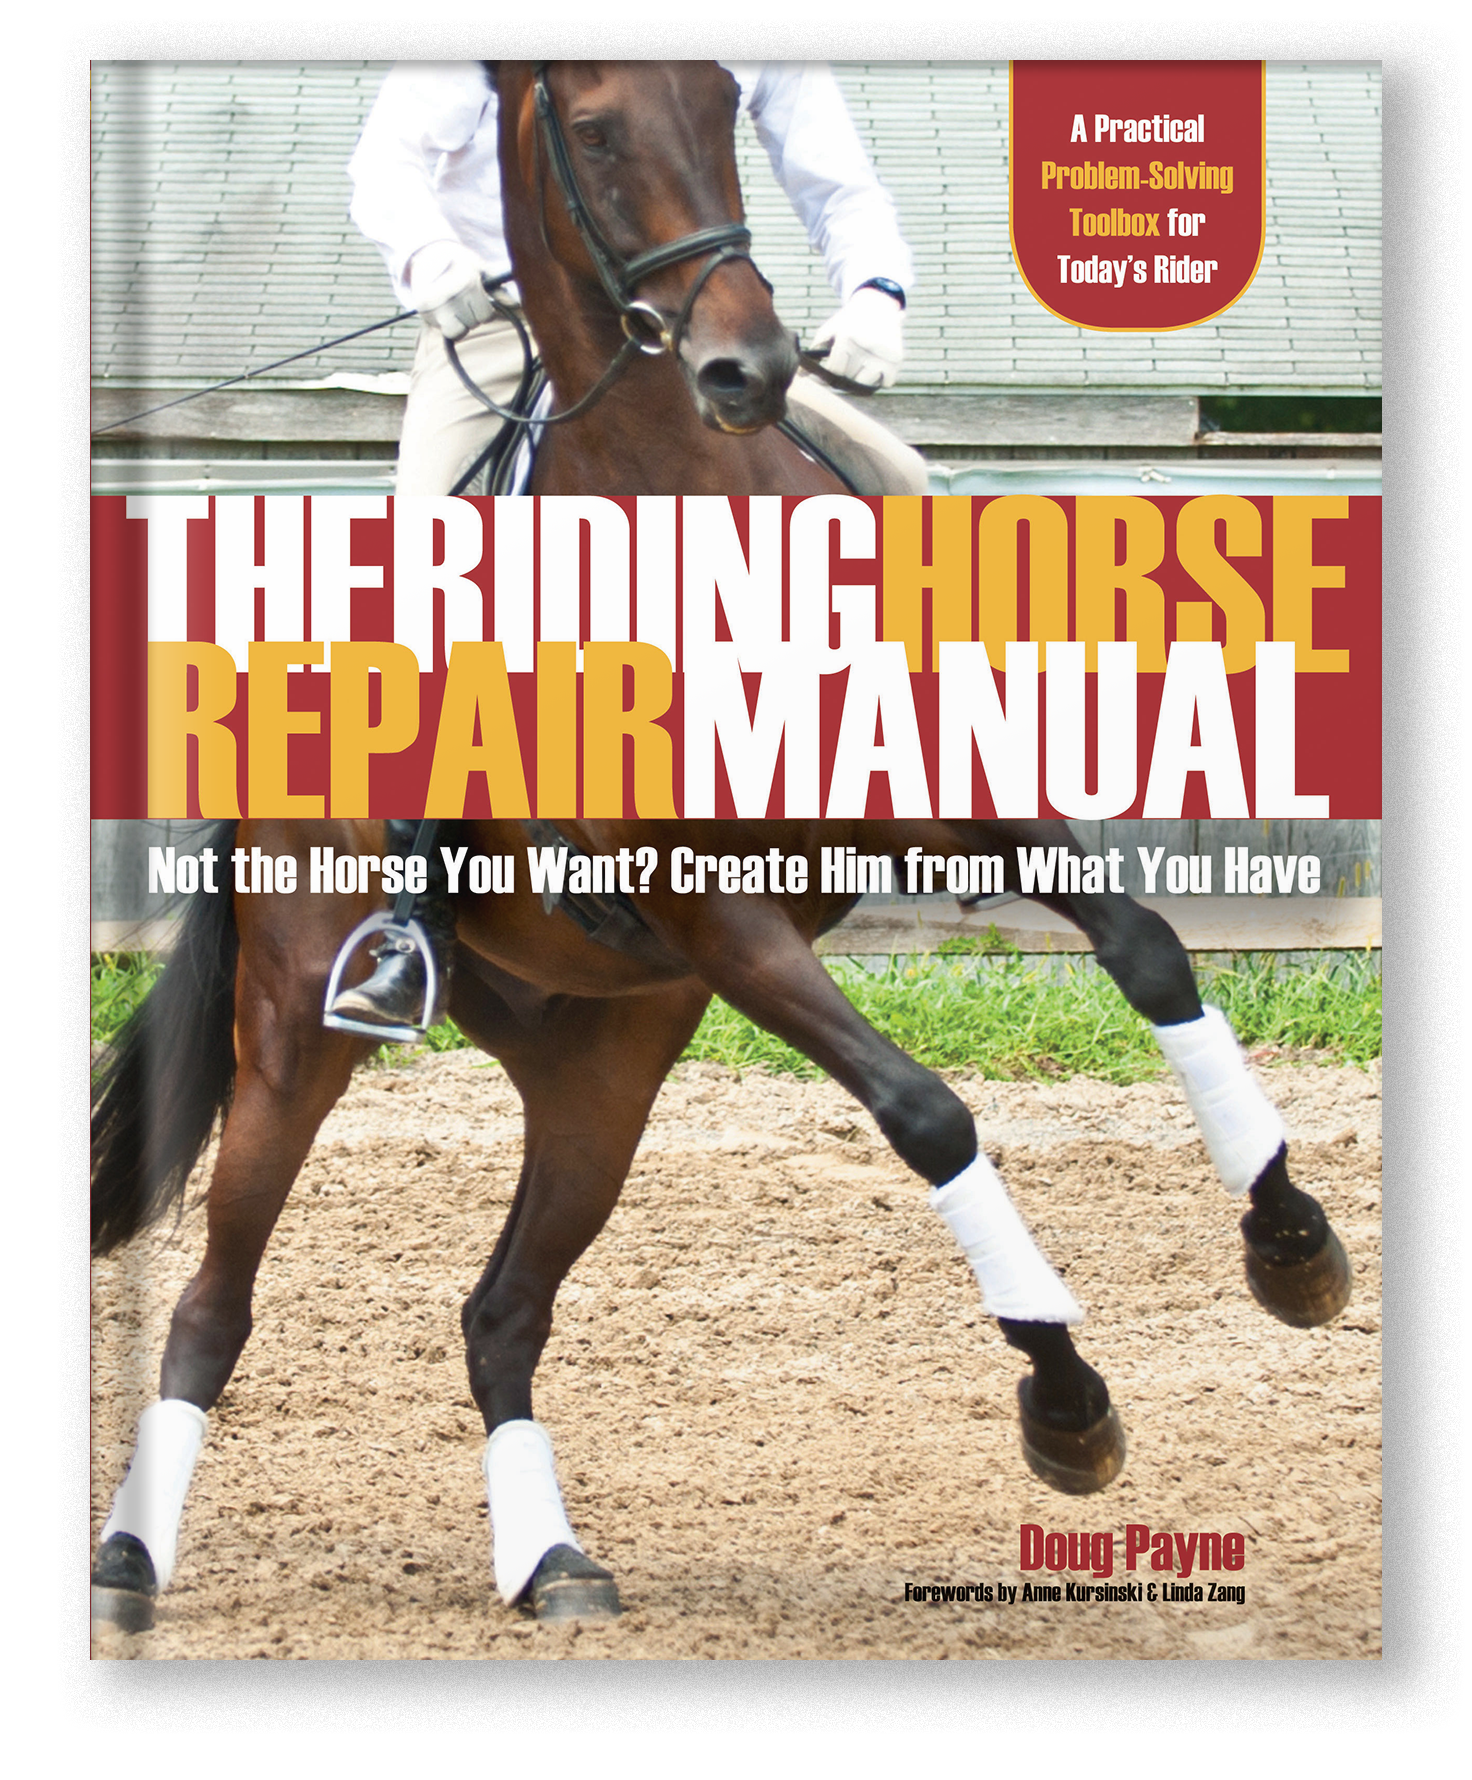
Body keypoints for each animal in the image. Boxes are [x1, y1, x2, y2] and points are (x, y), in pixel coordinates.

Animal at [90, 815, 1352, 1630]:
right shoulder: (728, 919)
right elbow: (926, 1111)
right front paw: (1061, 1387)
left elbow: (1147, 948)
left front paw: (1289, 1235)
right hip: (296, 1046)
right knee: (213, 1304)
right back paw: (129, 1559)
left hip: (601, 1076)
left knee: (502, 1313)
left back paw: (550, 1560)